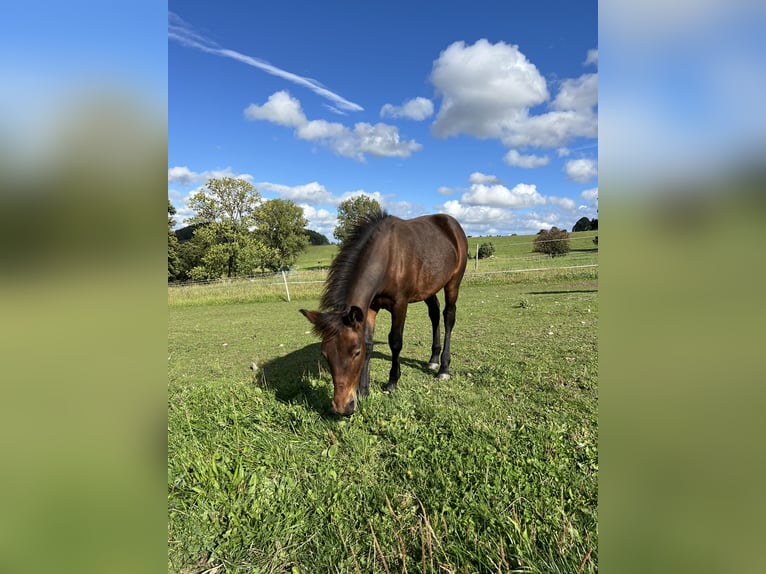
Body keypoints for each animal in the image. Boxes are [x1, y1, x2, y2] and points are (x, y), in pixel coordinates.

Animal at [300, 212, 468, 416]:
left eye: (356, 352)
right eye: (325, 354)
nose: (342, 407)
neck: (387, 256)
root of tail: (452, 224)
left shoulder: (400, 304)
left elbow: (395, 341)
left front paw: (392, 382)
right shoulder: (370, 308)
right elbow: (369, 342)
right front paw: (363, 391)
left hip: (453, 283)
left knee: (448, 317)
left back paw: (443, 368)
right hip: (429, 287)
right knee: (434, 314)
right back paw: (433, 360)